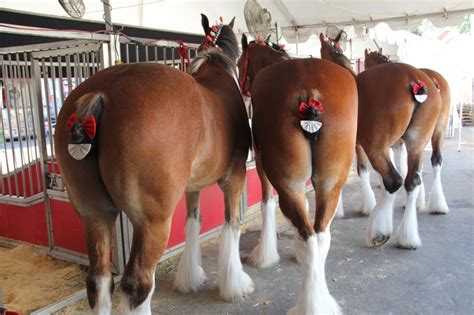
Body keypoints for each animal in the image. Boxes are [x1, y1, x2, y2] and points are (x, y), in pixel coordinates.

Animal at [55, 15, 254, 315]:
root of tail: (102, 93)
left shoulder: (191, 187)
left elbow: (193, 222)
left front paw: (189, 278)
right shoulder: (235, 178)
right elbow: (231, 226)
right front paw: (236, 285)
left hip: (94, 214)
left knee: (99, 280)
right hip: (152, 222)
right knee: (137, 284)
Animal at [239, 33, 358, 314]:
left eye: (240, 62)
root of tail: (309, 92)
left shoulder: (261, 162)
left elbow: (266, 202)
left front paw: (264, 255)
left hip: (288, 184)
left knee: (308, 235)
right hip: (329, 184)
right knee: (318, 235)